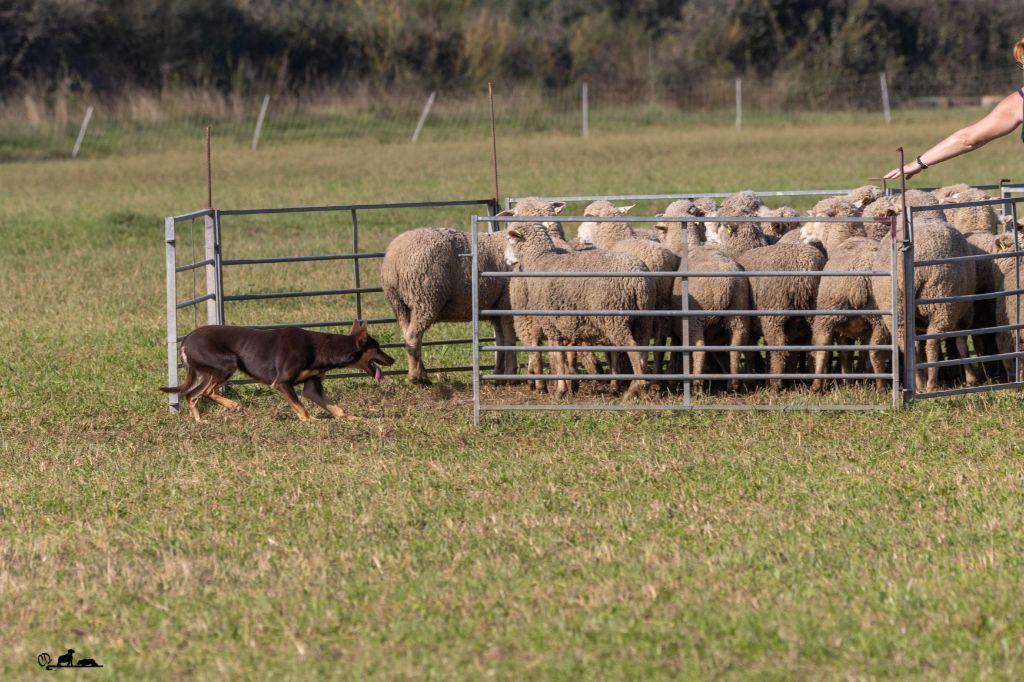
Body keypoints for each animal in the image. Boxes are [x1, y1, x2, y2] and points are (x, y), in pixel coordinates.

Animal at [161, 319, 393, 419]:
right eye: (378, 347)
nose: (392, 360)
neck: (321, 349)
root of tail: (186, 341)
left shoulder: (312, 388)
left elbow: (338, 409)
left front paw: (355, 420)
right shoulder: (281, 383)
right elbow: (303, 410)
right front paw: (312, 422)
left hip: (210, 372)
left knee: (192, 395)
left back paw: (200, 421)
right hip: (227, 364)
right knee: (207, 392)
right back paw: (233, 406)